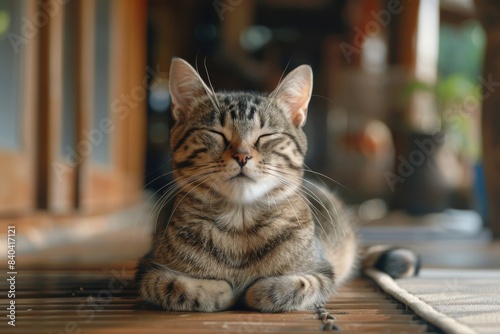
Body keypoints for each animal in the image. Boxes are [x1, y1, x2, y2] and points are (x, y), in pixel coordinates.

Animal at [136, 58, 418, 314]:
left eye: (266, 136)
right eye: (216, 133)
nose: (242, 156)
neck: (239, 223)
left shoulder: (322, 272)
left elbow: (292, 286)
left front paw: (258, 290)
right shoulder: (147, 270)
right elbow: (177, 285)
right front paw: (218, 290)